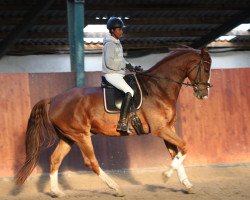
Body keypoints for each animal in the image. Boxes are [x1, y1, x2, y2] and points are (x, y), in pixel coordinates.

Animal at [15, 47, 211, 196]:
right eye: (206, 69)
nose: (204, 94)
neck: (158, 88)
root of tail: (54, 99)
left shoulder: (167, 129)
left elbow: (176, 153)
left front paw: (187, 184)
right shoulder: (161, 129)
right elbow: (185, 146)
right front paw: (165, 175)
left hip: (68, 137)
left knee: (55, 159)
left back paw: (57, 192)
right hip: (82, 135)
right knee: (91, 162)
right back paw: (116, 188)